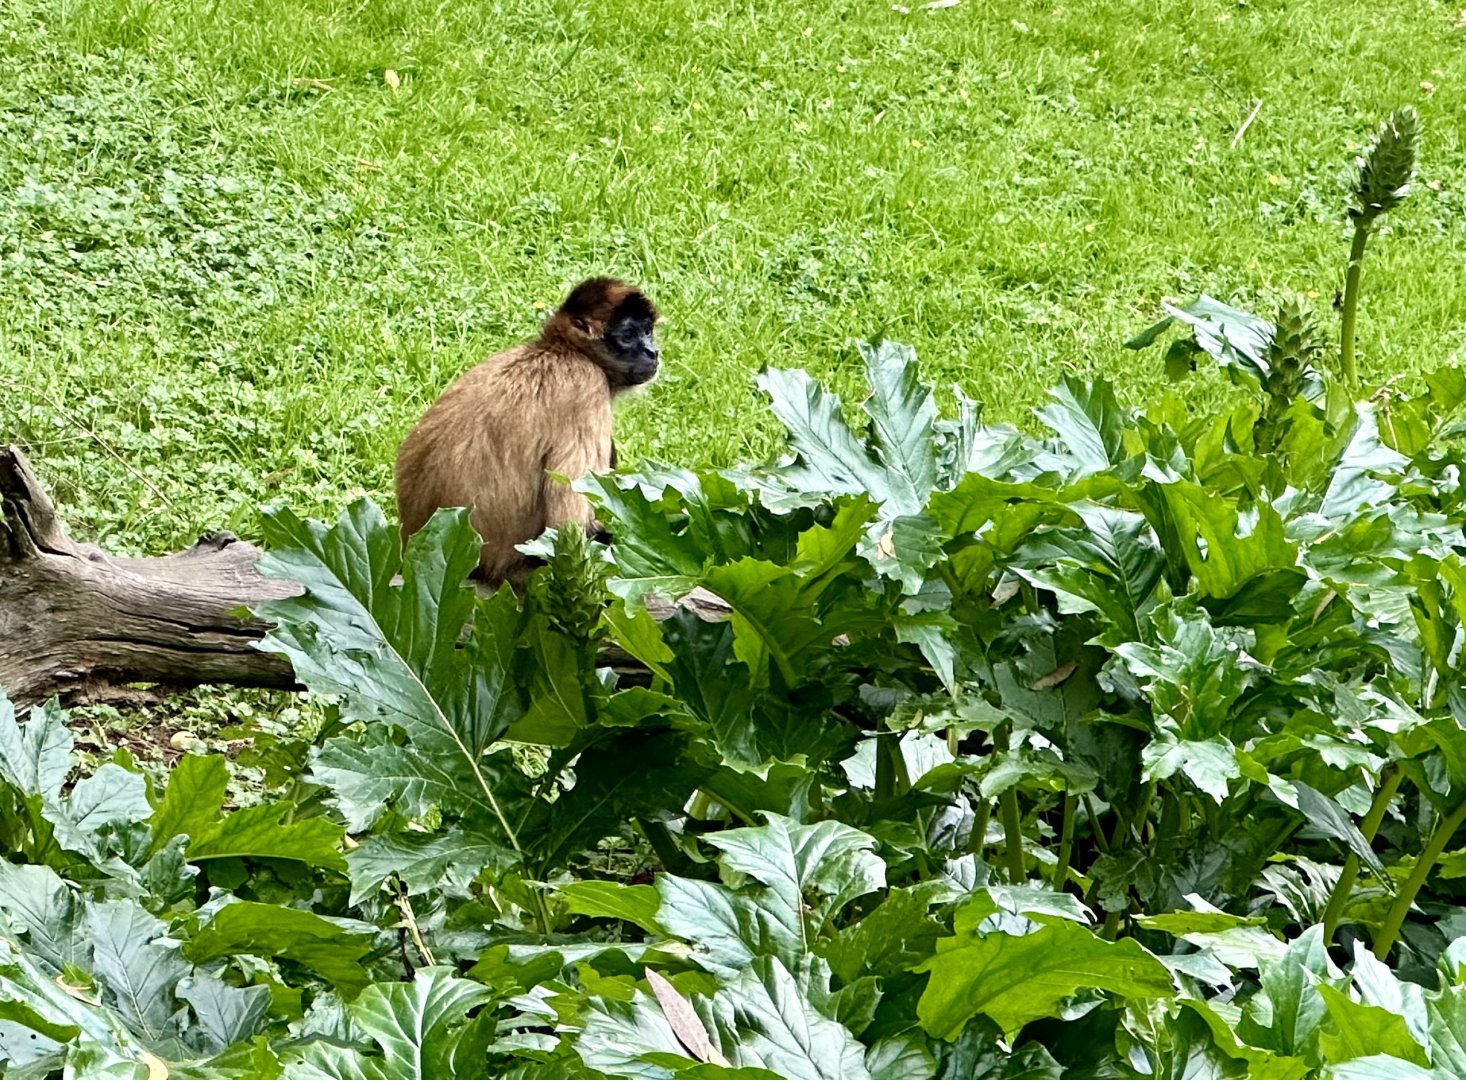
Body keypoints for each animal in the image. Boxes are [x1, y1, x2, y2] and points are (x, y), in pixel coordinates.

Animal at [393, 277, 660, 588]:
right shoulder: (587, 384)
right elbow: (569, 526)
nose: (653, 352)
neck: (561, 349)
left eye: (648, 332)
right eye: (628, 336)